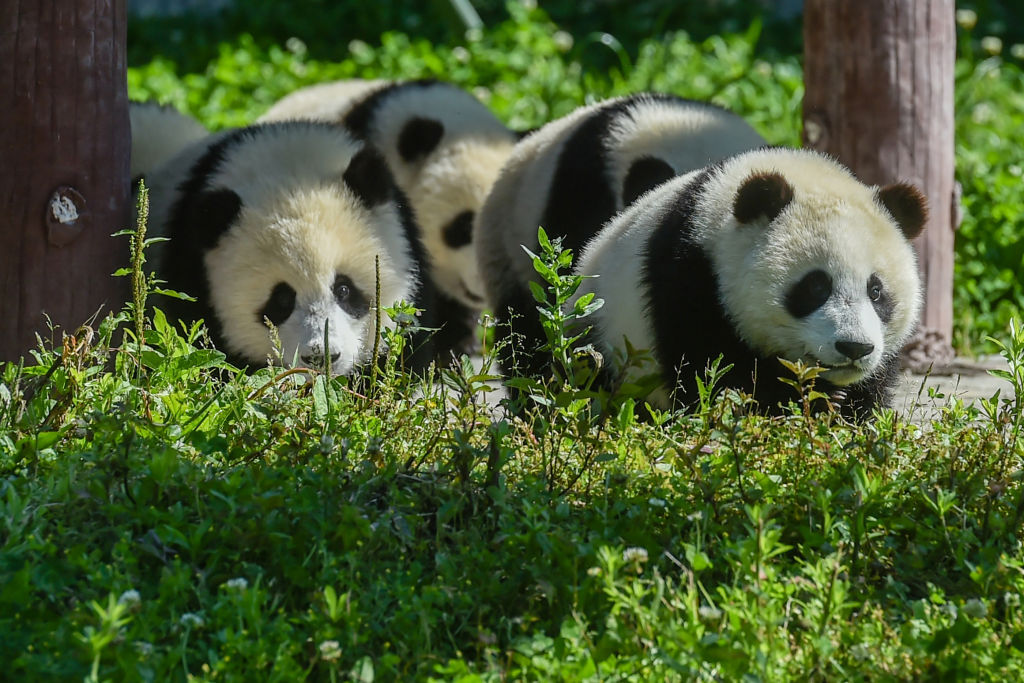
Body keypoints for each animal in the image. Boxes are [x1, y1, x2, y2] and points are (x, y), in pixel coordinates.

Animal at [570, 147, 927, 419]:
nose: (854, 347)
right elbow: (712, 374)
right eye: (815, 287)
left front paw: (845, 407)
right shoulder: (689, 280)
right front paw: (810, 399)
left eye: (876, 291)